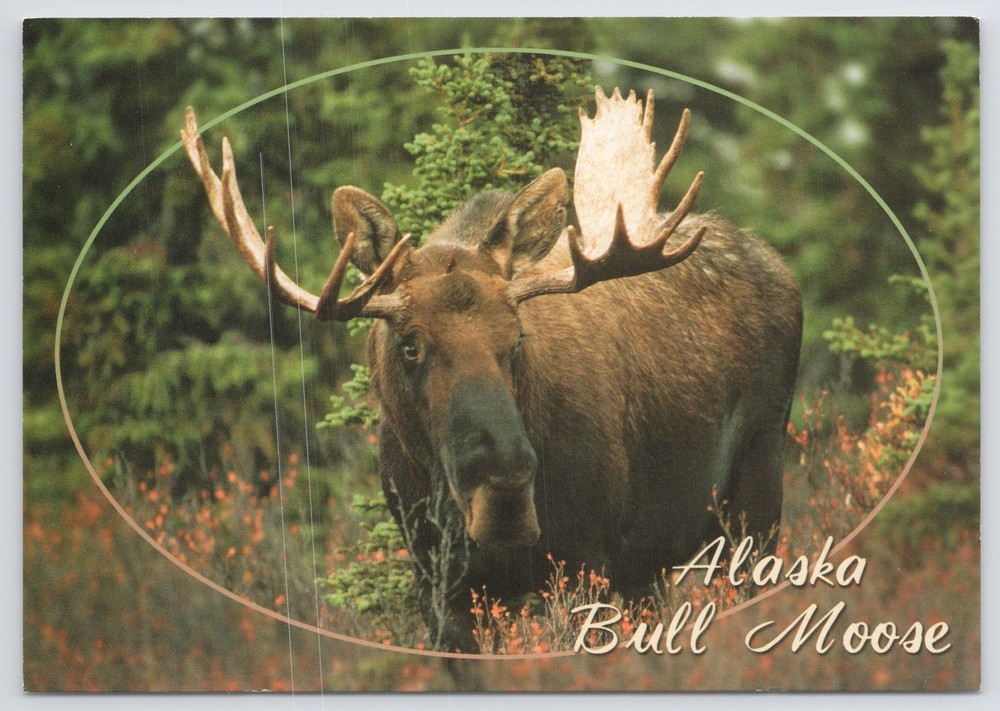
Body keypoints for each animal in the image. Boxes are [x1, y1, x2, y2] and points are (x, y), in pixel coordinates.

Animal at [181, 86, 802, 652]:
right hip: (652, 561)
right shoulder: (439, 583)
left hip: (756, 490)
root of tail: (778, 264)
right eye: (410, 344)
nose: (501, 489)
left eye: (517, 337)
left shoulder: (588, 556)